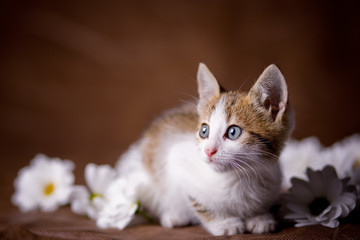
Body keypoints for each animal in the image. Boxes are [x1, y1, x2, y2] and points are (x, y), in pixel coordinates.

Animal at [116, 62, 294, 235]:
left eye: (233, 132)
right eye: (204, 131)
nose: (209, 150)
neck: (239, 177)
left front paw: (259, 217)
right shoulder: (177, 163)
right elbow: (196, 200)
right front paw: (223, 223)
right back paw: (174, 216)